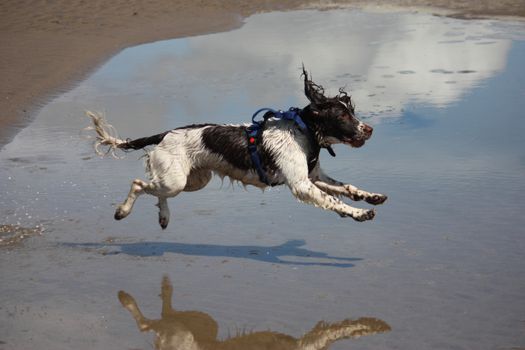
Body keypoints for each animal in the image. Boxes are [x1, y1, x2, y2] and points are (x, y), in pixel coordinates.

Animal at [88, 68, 386, 228]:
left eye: (351, 111)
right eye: (342, 115)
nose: (370, 129)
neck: (304, 131)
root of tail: (165, 134)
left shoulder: (312, 176)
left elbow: (345, 187)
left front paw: (370, 197)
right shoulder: (301, 184)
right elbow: (335, 201)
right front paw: (360, 213)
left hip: (193, 180)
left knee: (156, 191)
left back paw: (164, 217)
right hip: (175, 180)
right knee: (139, 183)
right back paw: (122, 211)